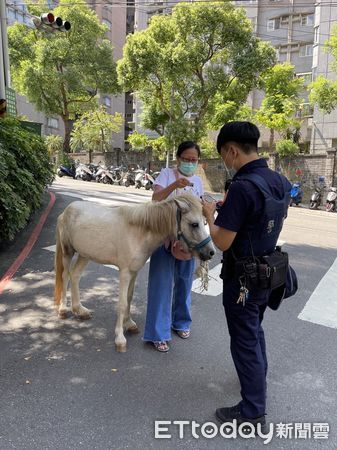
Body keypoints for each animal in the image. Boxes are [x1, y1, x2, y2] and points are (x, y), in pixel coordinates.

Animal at [53, 193, 214, 352]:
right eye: (194, 224)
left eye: (205, 222)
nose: (210, 252)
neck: (139, 231)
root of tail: (65, 212)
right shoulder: (124, 272)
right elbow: (122, 303)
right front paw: (120, 338)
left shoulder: (134, 272)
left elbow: (129, 298)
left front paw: (129, 324)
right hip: (68, 252)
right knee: (65, 276)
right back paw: (63, 309)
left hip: (85, 255)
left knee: (75, 275)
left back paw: (80, 310)